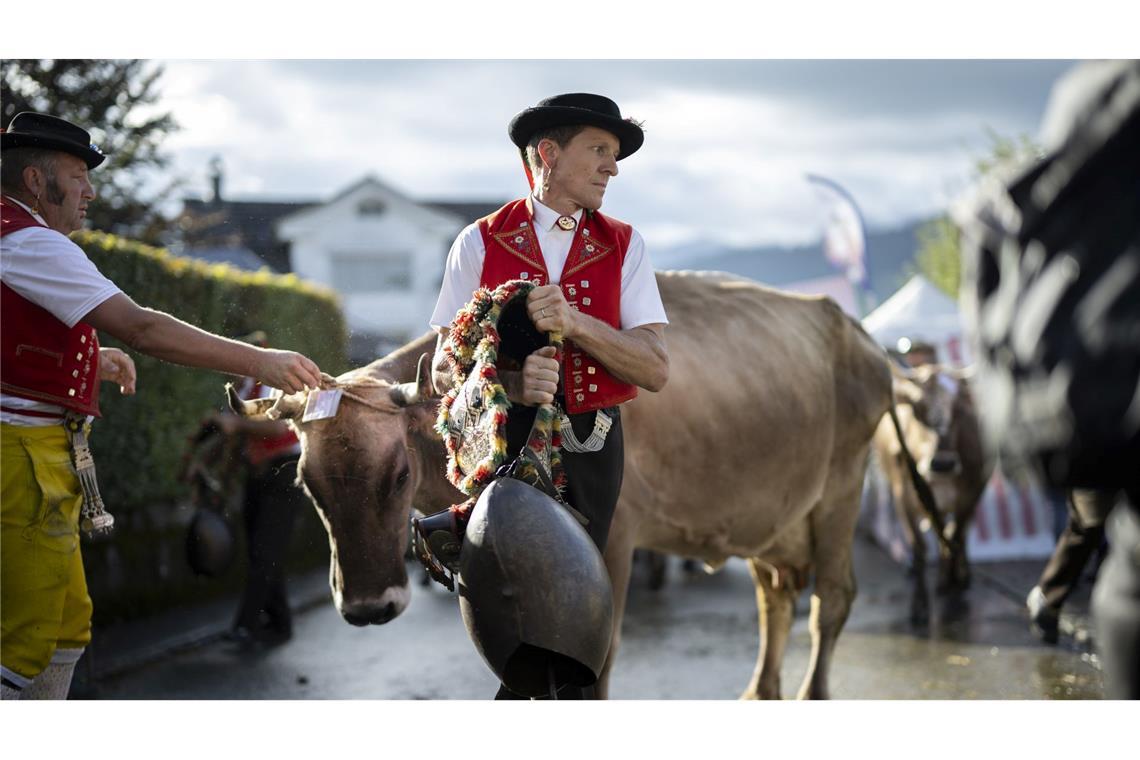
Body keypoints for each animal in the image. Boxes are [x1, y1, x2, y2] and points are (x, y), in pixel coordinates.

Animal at [875, 364, 994, 628]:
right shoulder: (904, 498)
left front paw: (955, 582)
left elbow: (956, 534)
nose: (943, 463)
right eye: (918, 408)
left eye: (957, 410)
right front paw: (919, 607)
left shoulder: (971, 492)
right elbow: (920, 547)